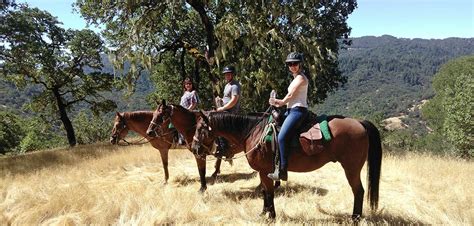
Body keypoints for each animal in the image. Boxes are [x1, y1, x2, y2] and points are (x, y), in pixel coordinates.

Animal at [192, 110, 382, 220]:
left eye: (201, 128)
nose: (194, 148)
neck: (254, 133)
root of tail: (359, 122)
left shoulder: (265, 171)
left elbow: (269, 192)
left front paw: (271, 216)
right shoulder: (264, 172)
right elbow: (265, 192)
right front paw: (264, 213)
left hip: (351, 168)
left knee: (359, 191)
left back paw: (355, 218)